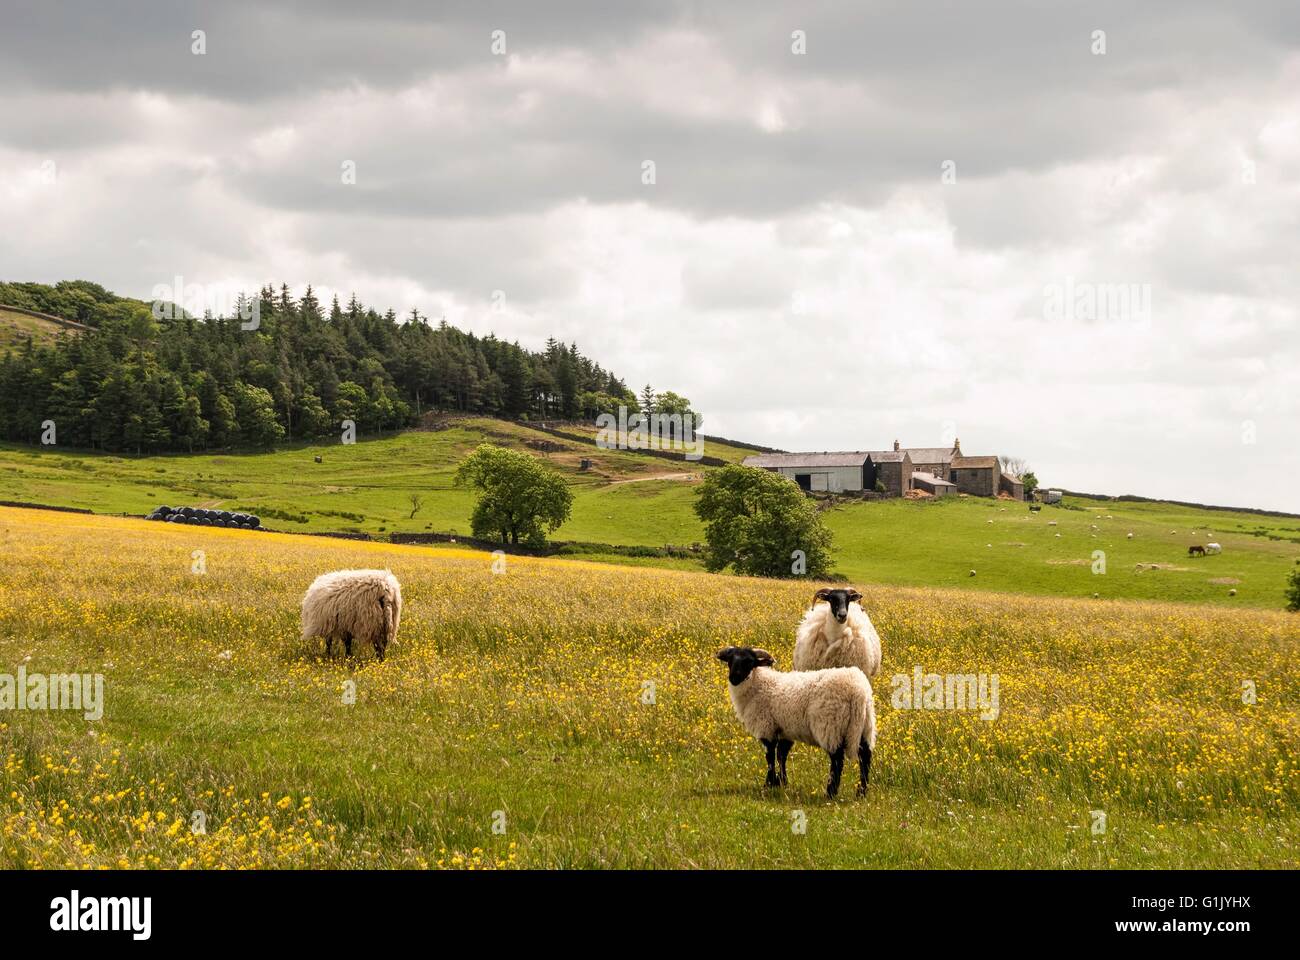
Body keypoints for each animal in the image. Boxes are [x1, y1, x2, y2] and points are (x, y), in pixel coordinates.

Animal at [717, 647, 878, 796]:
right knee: (865, 756)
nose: (734, 678)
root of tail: (858, 691)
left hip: (830, 725)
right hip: (865, 725)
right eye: (730, 660)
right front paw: (782, 782)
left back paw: (830, 792)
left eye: (749, 661)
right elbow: (781, 756)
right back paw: (861, 792)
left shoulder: (766, 727)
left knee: (837, 759)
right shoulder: (785, 730)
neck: (759, 684)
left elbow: (770, 757)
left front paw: (769, 784)